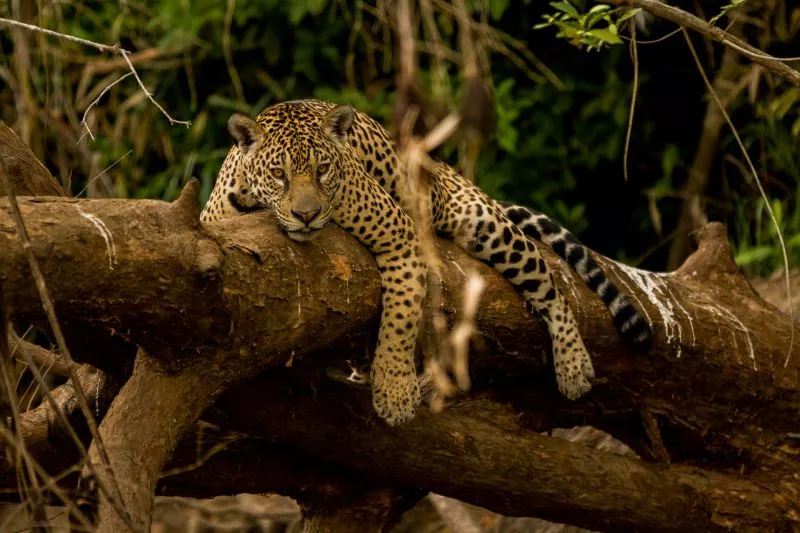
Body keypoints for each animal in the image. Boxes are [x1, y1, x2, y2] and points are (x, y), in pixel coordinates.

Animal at [200, 99, 652, 425]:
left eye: (323, 169)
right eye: (279, 173)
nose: (306, 214)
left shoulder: (400, 233)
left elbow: (400, 320)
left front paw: (395, 392)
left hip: (484, 225)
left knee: (549, 284)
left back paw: (574, 365)